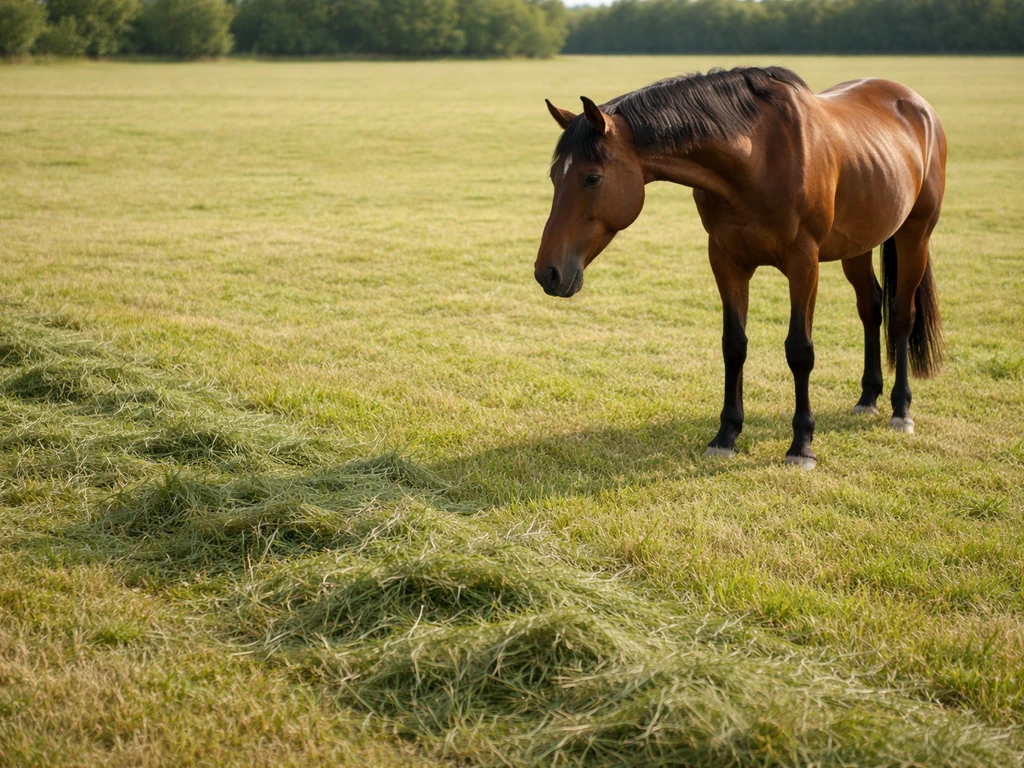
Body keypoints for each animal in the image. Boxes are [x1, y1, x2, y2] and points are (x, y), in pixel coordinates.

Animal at [535, 67, 946, 470]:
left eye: (592, 177)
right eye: (554, 176)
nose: (547, 273)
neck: (758, 157)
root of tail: (918, 105)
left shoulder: (803, 262)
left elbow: (800, 350)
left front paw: (801, 445)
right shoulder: (726, 260)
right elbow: (733, 345)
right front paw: (726, 436)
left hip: (914, 235)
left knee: (901, 316)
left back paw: (900, 410)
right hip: (858, 246)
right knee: (871, 308)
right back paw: (867, 399)